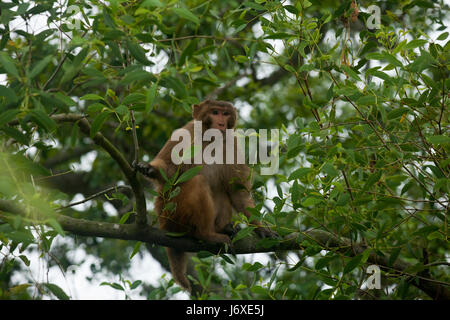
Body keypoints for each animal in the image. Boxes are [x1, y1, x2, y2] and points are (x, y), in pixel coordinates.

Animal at [134, 100, 276, 292]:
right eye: (215, 112)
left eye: (225, 113)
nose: (221, 122)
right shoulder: (186, 132)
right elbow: (169, 174)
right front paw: (151, 169)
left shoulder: (231, 143)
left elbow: (237, 192)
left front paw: (260, 228)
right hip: (171, 212)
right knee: (197, 182)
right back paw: (206, 234)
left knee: (220, 190)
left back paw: (223, 229)